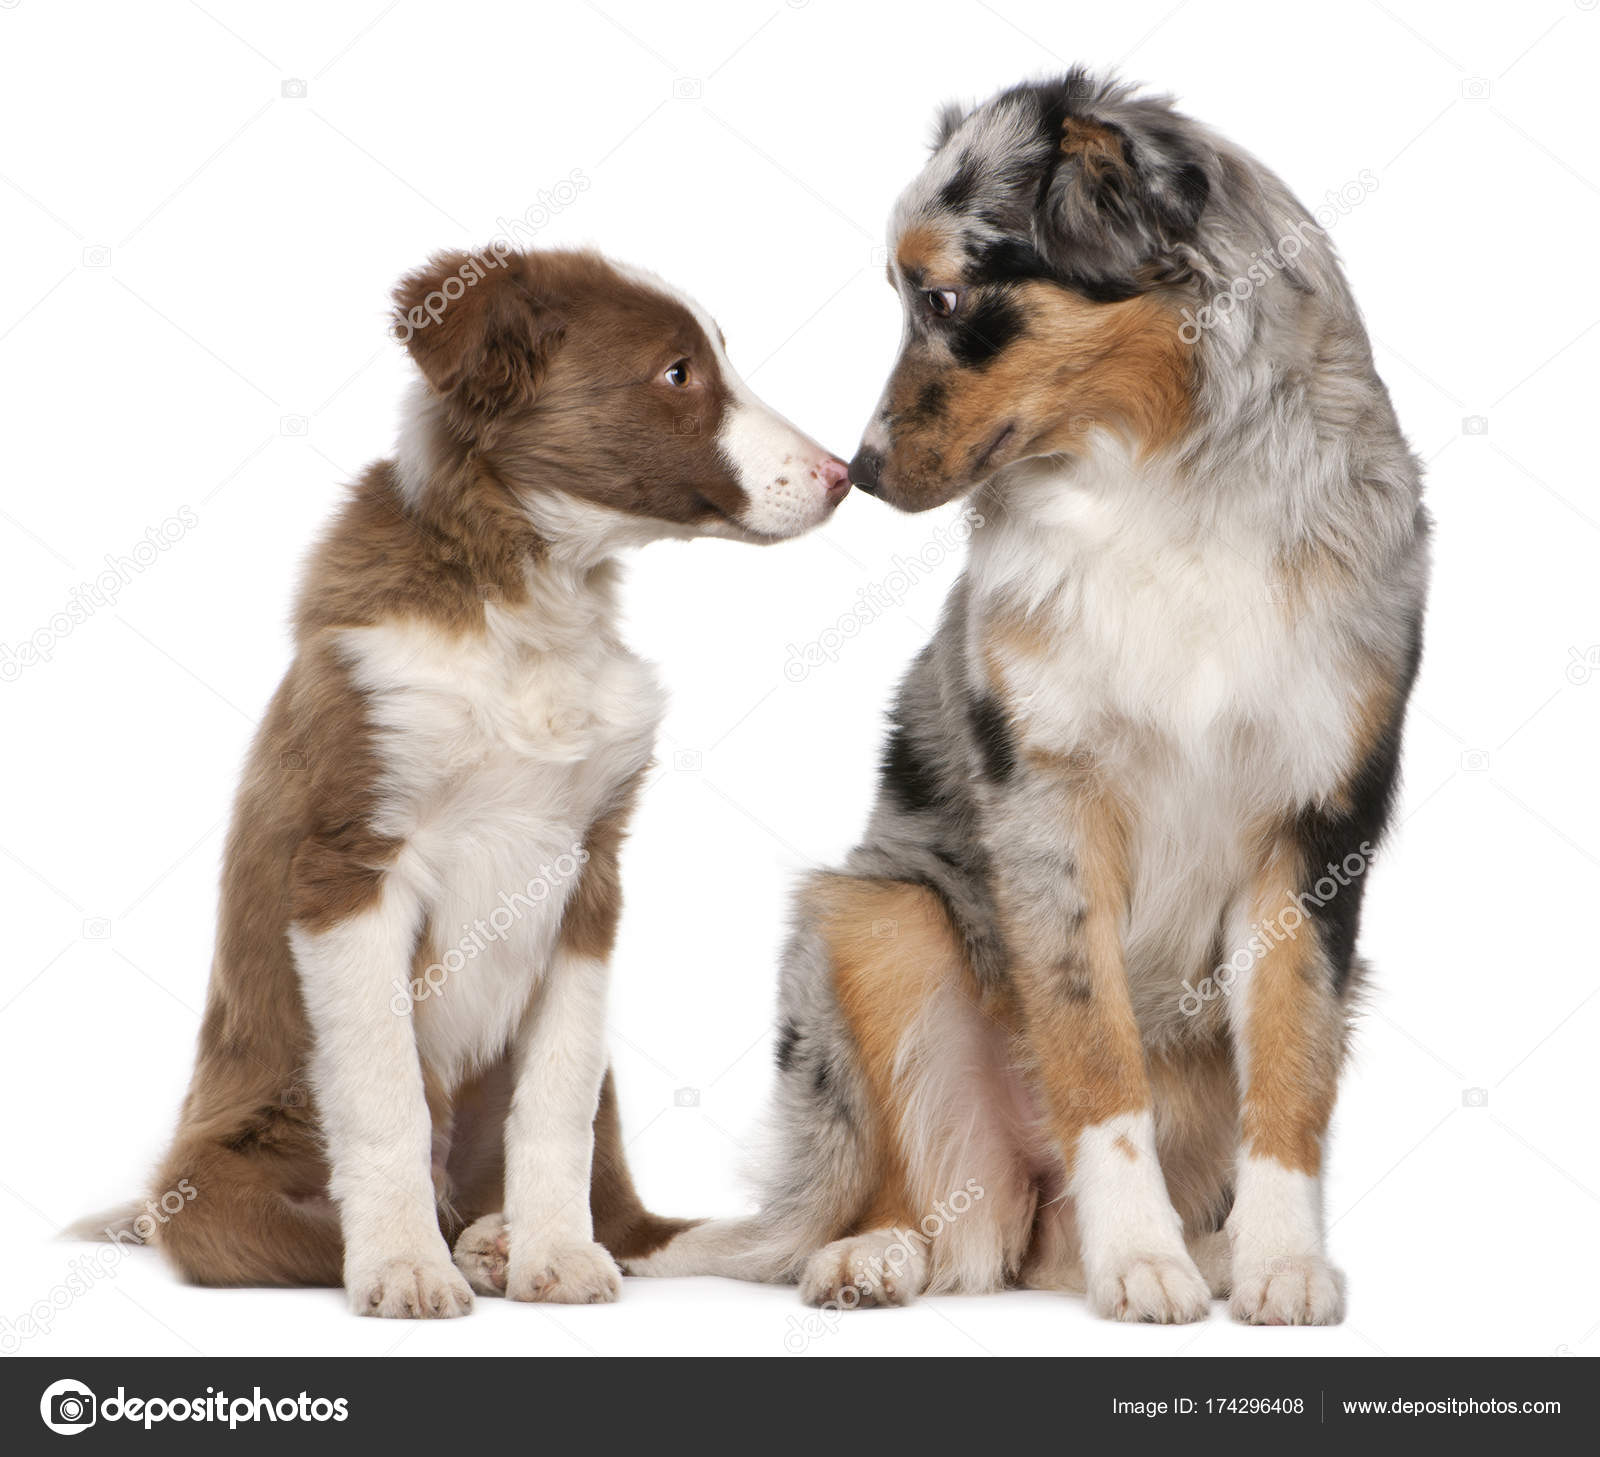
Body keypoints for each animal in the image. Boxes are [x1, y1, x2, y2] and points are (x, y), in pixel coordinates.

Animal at [95, 244, 851, 1317]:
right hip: (214, 1186)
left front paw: (558, 1253)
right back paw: (448, 1247)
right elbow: (386, 1097)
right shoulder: (351, 865)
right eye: (676, 373)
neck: (529, 599)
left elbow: (557, 1100)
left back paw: (508, 1240)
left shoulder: (588, 871)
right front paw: (404, 1267)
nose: (845, 475)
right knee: (292, 1222)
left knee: (630, 1217)